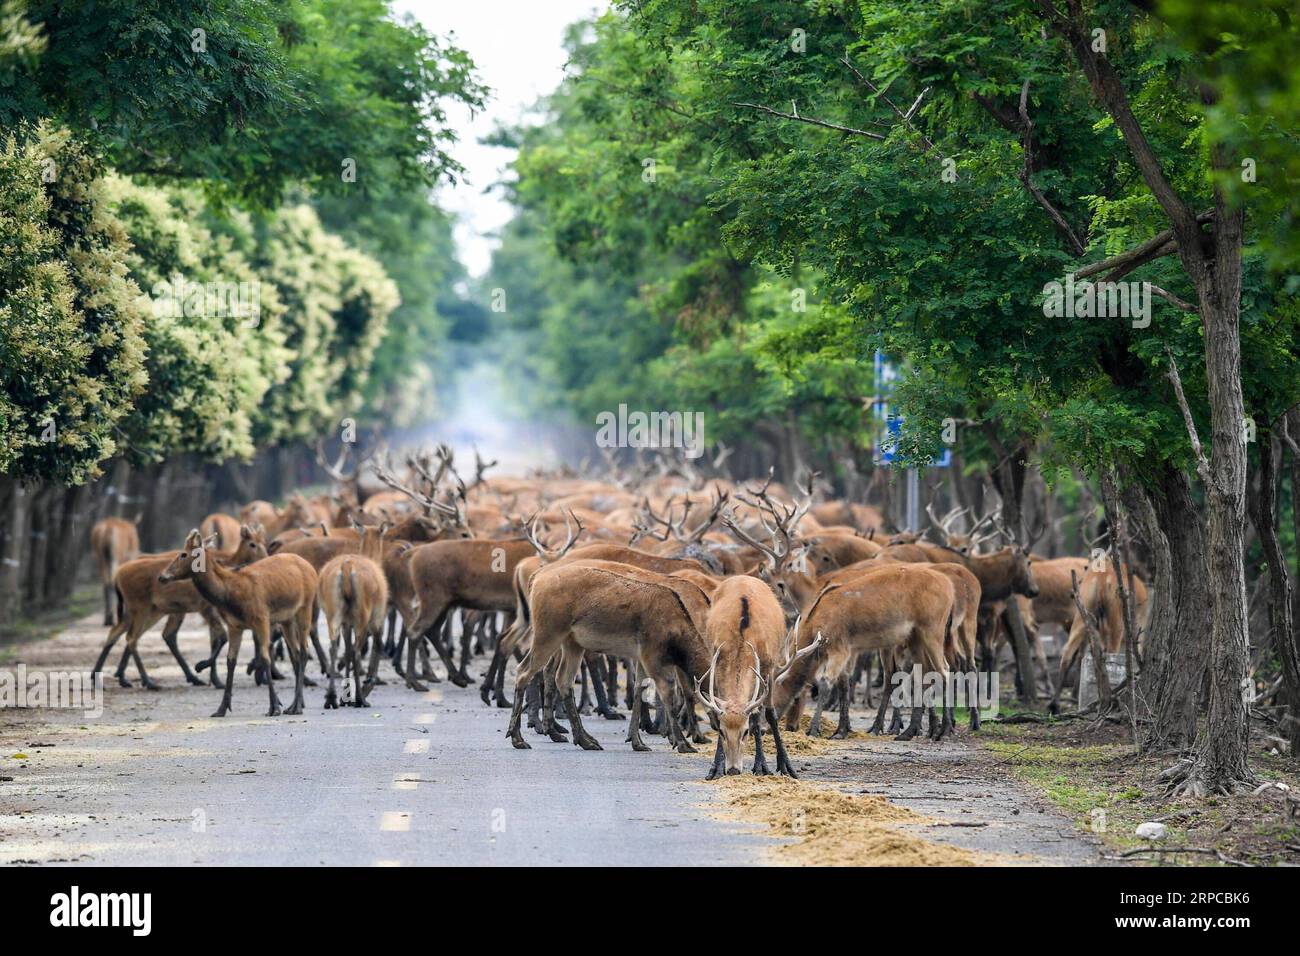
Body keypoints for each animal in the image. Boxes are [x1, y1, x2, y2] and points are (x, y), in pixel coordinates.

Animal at [157, 530, 319, 717]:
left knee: (304, 652)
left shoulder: (262, 618)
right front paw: (221, 709)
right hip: (287, 619)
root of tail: (311, 568)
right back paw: (294, 705)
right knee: (296, 654)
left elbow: (264, 657)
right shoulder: (235, 625)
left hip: (305, 607)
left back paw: (297, 706)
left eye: (183, 554)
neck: (231, 596)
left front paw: (274, 707)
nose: (162, 576)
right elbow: (231, 661)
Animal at [696, 574, 795, 780]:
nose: (733, 769)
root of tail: (744, 576)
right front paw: (715, 769)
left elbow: (763, 716)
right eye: (722, 732)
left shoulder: (768, 668)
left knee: (767, 714)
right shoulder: (718, 666)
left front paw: (766, 766)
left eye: (745, 731)